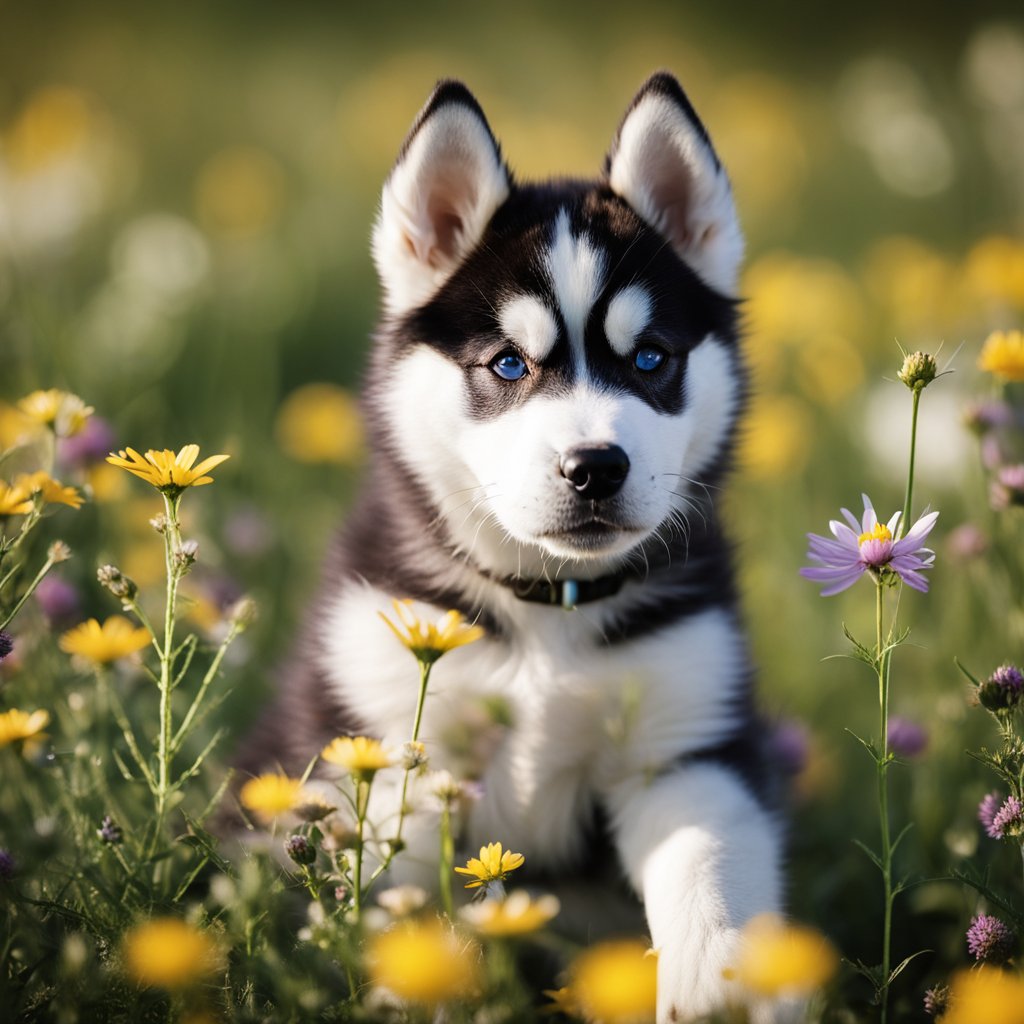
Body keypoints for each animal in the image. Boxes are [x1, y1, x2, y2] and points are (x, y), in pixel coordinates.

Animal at [241, 74, 782, 1024]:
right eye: (506, 365)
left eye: (651, 360)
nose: (595, 467)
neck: (548, 615)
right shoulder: (398, 764)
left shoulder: (685, 753)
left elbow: (709, 871)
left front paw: (719, 987)